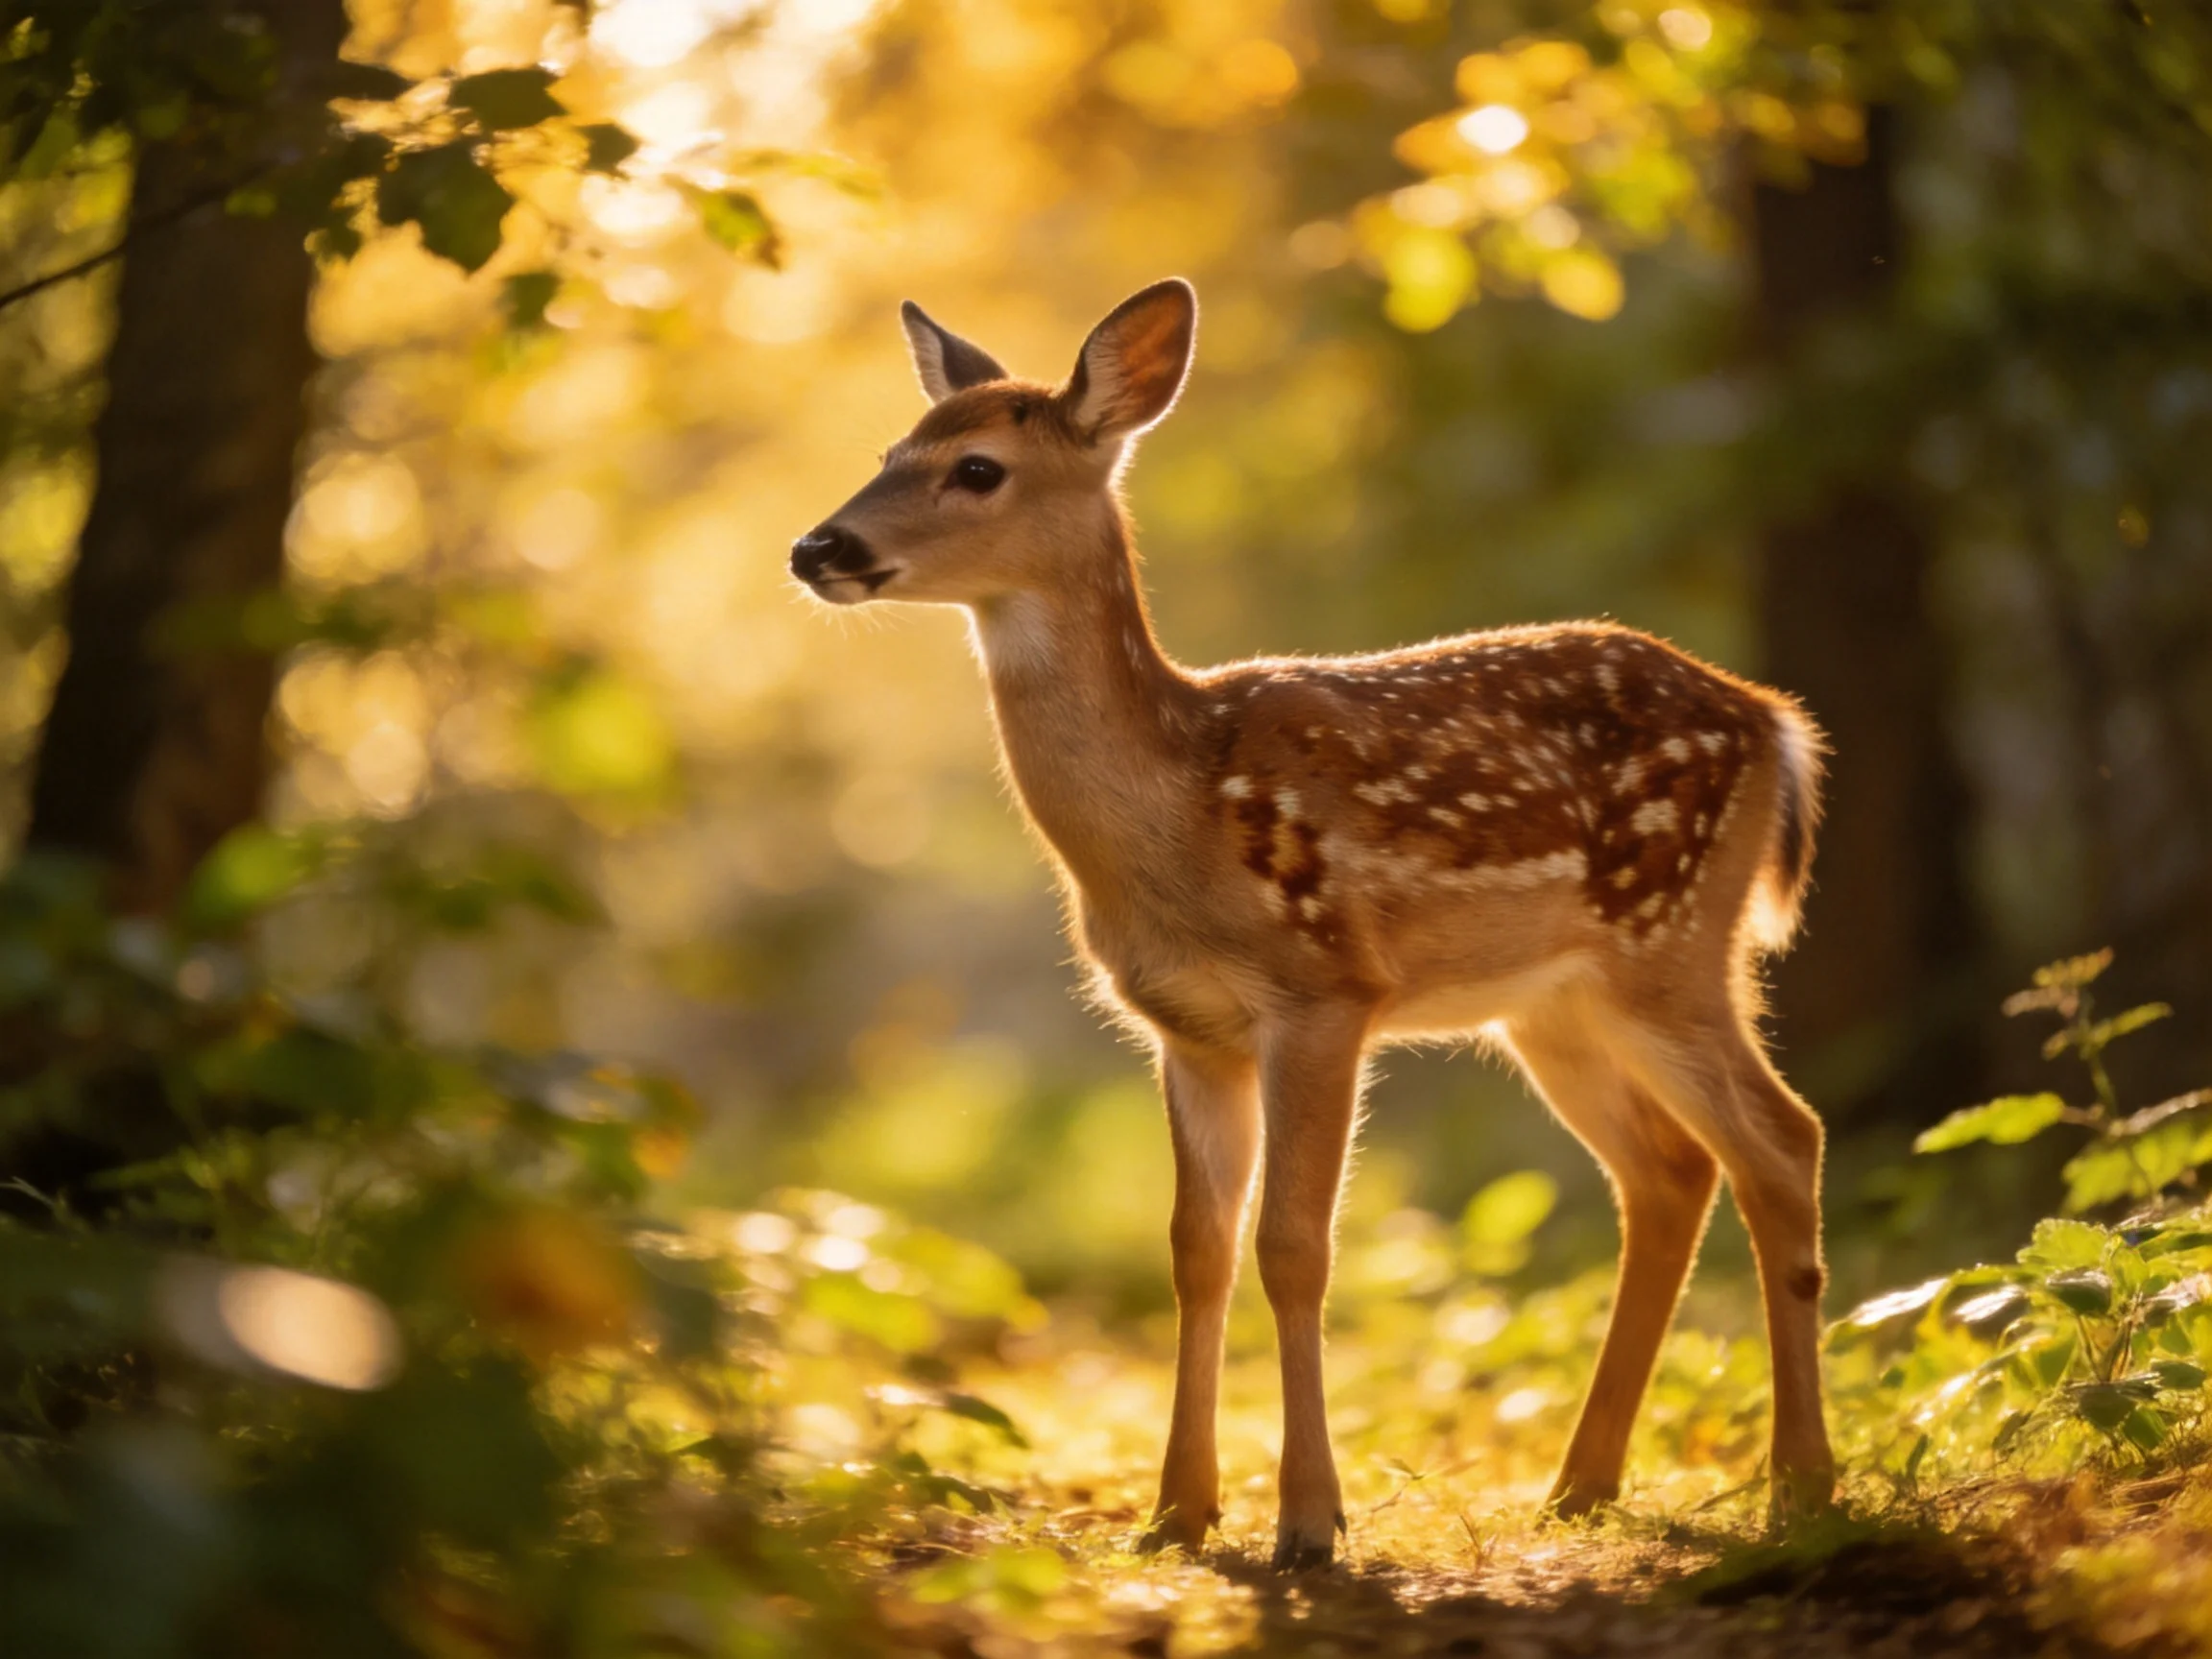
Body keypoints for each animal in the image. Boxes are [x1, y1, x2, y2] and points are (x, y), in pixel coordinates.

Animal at [791, 279, 1835, 1569]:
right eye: (890, 453)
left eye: (976, 468)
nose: (817, 548)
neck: (1178, 812)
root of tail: (1776, 724)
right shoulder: (1185, 1029)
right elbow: (1195, 1249)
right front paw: (1176, 1514)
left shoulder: (1326, 992)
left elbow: (1293, 1246)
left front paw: (1307, 1522)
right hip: (1554, 1005)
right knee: (1671, 1170)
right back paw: (1580, 1488)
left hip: (1674, 942)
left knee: (1781, 1141)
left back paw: (1802, 1488)